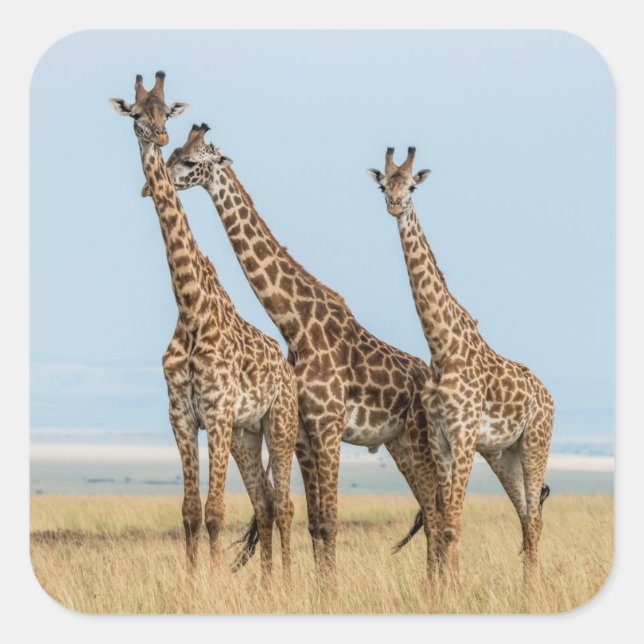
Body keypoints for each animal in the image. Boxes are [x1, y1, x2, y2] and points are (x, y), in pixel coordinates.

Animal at [109, 74, 298, 583]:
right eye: (136, 113)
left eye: (165, 114)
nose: (158, 138)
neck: (191, 307)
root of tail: (288, 367)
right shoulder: (180, 416)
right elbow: (191, 512)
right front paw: (194, 583)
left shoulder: (214, 412)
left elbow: (215, 512)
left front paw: (213, 584)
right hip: (245, 434)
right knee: (265, 503)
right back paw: (266, 586)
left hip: (280, 423)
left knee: (286, 505)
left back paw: (288, 582)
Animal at [155, 123, 443, 582]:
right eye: (175, 150)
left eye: (190, 160)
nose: (159, 179)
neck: (295, 325)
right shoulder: (306, 432)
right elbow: (315, 521)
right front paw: (321, 587)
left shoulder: (328, 426)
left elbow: (331, 519)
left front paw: (332, 589)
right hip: (397, 444)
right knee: (431, 511)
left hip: (418, 441)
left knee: (436, 512)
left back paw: (439, 585)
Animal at [368, 147, 554, 581]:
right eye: (383, 186)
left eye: (413, 186)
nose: (395, 204)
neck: (442, 349)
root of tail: (549, 395)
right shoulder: (440, 437)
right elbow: (445, 521)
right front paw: (447, 585)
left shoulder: (465, 434)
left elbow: (453, 523)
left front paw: (454, 588)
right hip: (505, 455)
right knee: (526, 516)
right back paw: (526, 587)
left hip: (536, 441)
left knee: (535, 518)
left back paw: (534, 588)